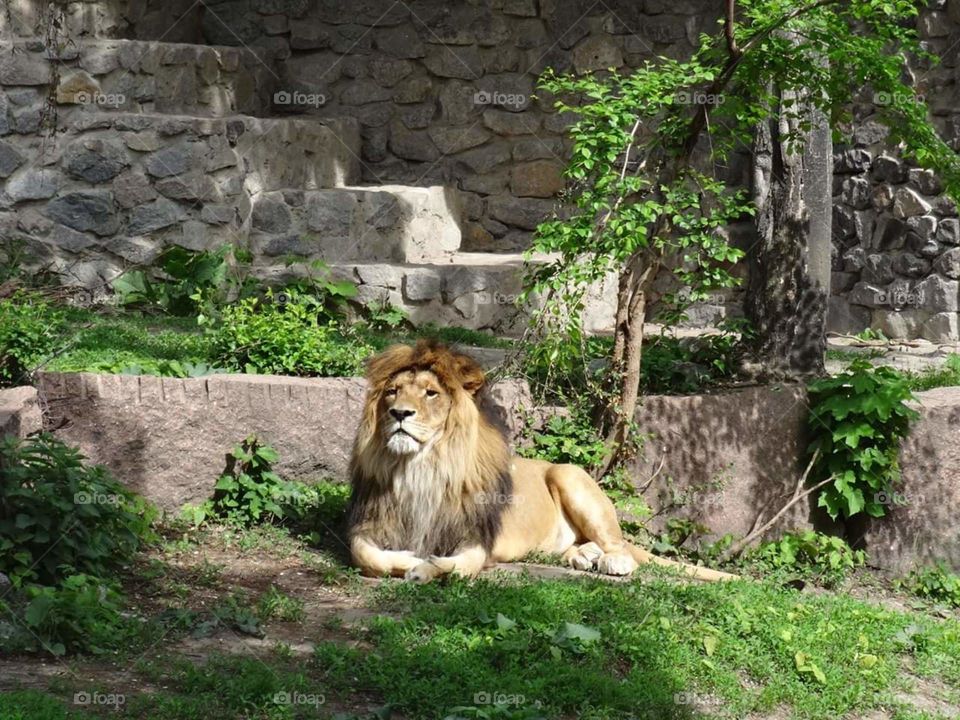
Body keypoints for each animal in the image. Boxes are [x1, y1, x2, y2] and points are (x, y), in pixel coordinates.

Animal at [346, 340, 735, 583]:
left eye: (431, 393)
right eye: (392, 391)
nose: (399, 413)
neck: (421, 467)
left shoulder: (476, 539)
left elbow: (458, 566)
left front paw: (424, 567)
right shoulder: (369, 524)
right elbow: (366, 555)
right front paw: (412, 558)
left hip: (569, 476)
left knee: (620, 545)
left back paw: (610, 560)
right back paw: (583, 556)